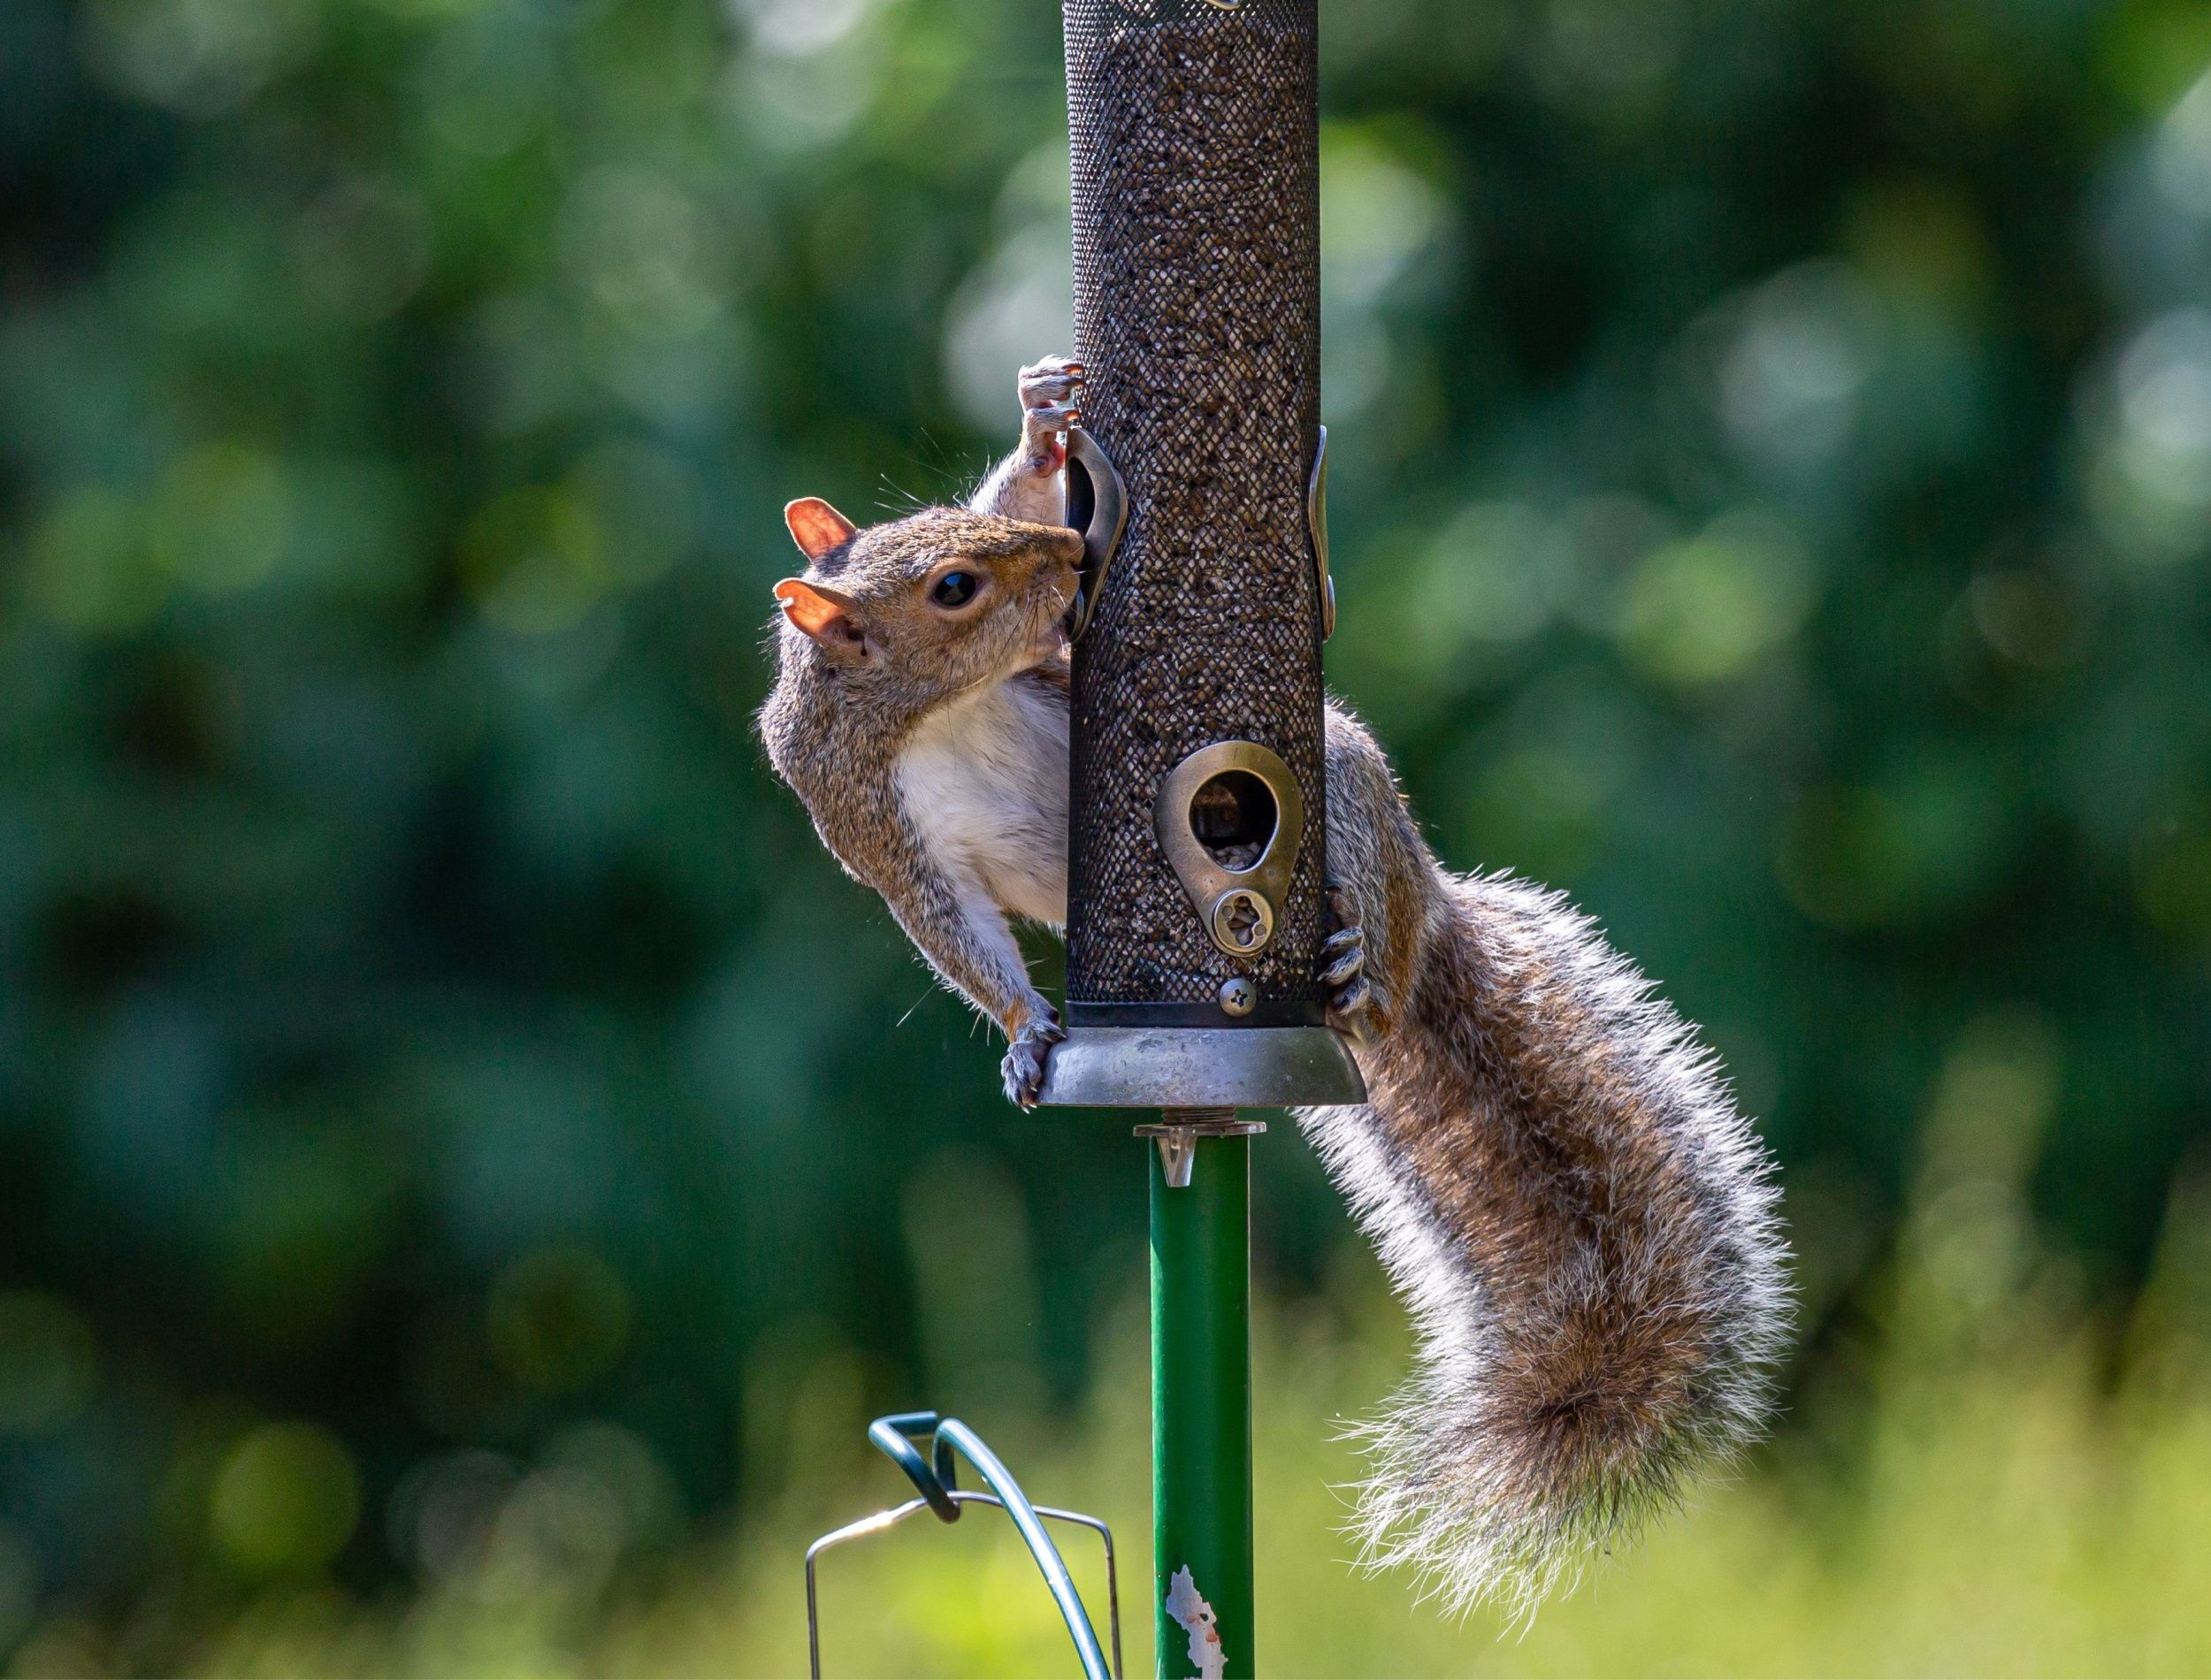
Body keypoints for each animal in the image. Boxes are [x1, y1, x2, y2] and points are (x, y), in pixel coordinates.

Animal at [761, 354, 1795, 1618]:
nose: (1069, 558)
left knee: (1385, 950)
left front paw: (1042, 423)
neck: (933, 707)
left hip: (1342, 787)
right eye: (952, 585)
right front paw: (1025, 1031)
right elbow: (960, 941)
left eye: (958, 522)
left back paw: (1364, 966)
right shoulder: (882, 834)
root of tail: (1424, 901)